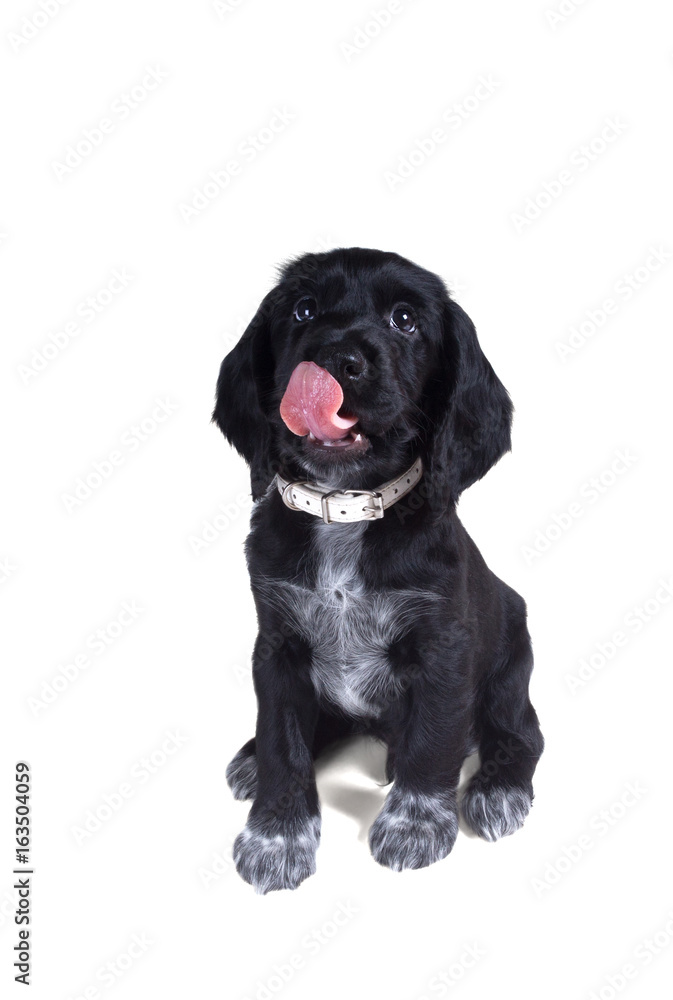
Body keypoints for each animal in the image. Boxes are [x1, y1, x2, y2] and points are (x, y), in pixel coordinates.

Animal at [213, 248, 544, 892]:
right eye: (303, 309)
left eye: (405, 321)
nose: (336, 360)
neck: (347, 507)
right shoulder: (277, 646)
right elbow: (282, 741)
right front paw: (276, 835)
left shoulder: (444, 648)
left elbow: (433, 741)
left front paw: (415, 825)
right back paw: (251, 758)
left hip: (510, 665)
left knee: (522, 732)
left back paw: (500, 789)